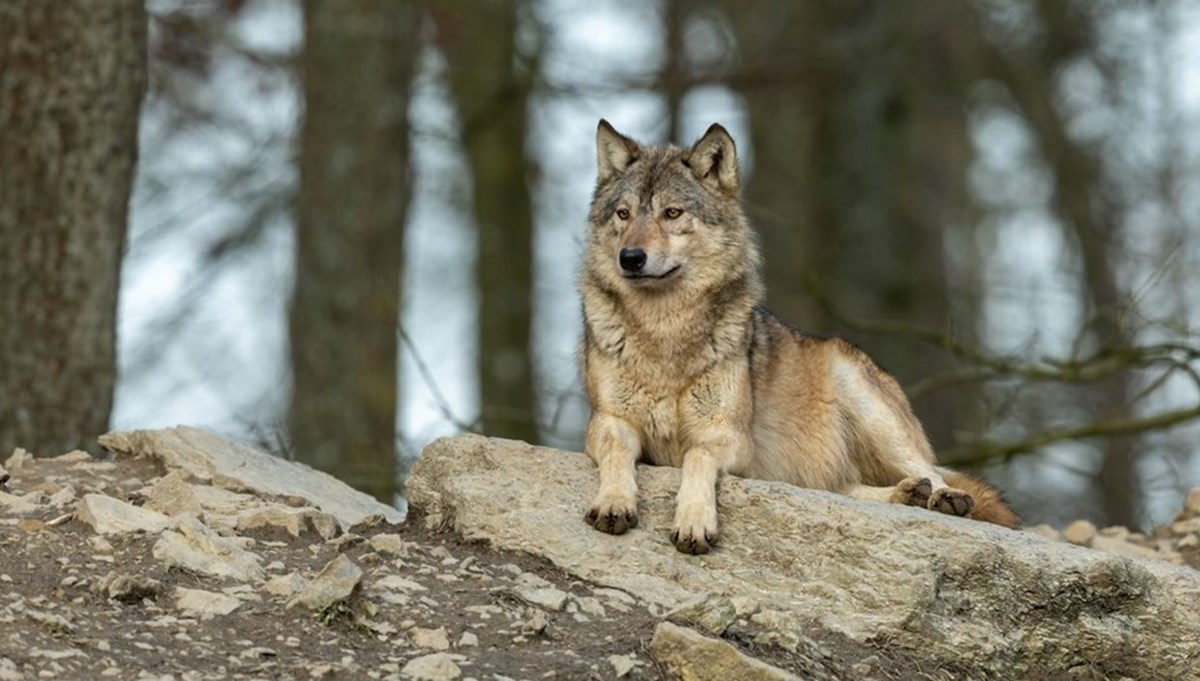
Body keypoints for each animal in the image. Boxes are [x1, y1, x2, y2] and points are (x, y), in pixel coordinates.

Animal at [576, 118, 1017, 553]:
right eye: (623, 213)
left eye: (671, 212)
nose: (631, 258)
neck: (664, 332)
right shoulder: (609, 422)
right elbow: (617, 454)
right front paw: (613, 502)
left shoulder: (727, 435)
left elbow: (697, 457)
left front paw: (694, 522)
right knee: (845, 489)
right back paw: (909, 494)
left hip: (867, 405)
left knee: (933, 473)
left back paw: (942, 497)